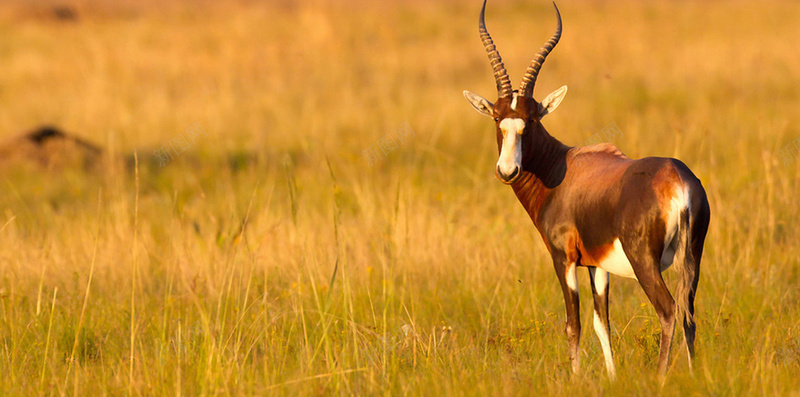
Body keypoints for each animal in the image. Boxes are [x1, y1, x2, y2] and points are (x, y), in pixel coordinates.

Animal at [462, 0, 712, 378]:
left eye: (531, 120)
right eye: (497, 119)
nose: (507, 170)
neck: (563, 167)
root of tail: (678, 180)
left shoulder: (563, 260)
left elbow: (573, 324)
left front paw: (576, 378)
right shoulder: (598, 266)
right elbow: (601, 323)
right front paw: (610, 377)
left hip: (645, 262)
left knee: (669, 310)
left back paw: (660, 378)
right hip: (692, 257)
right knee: (688, 313)